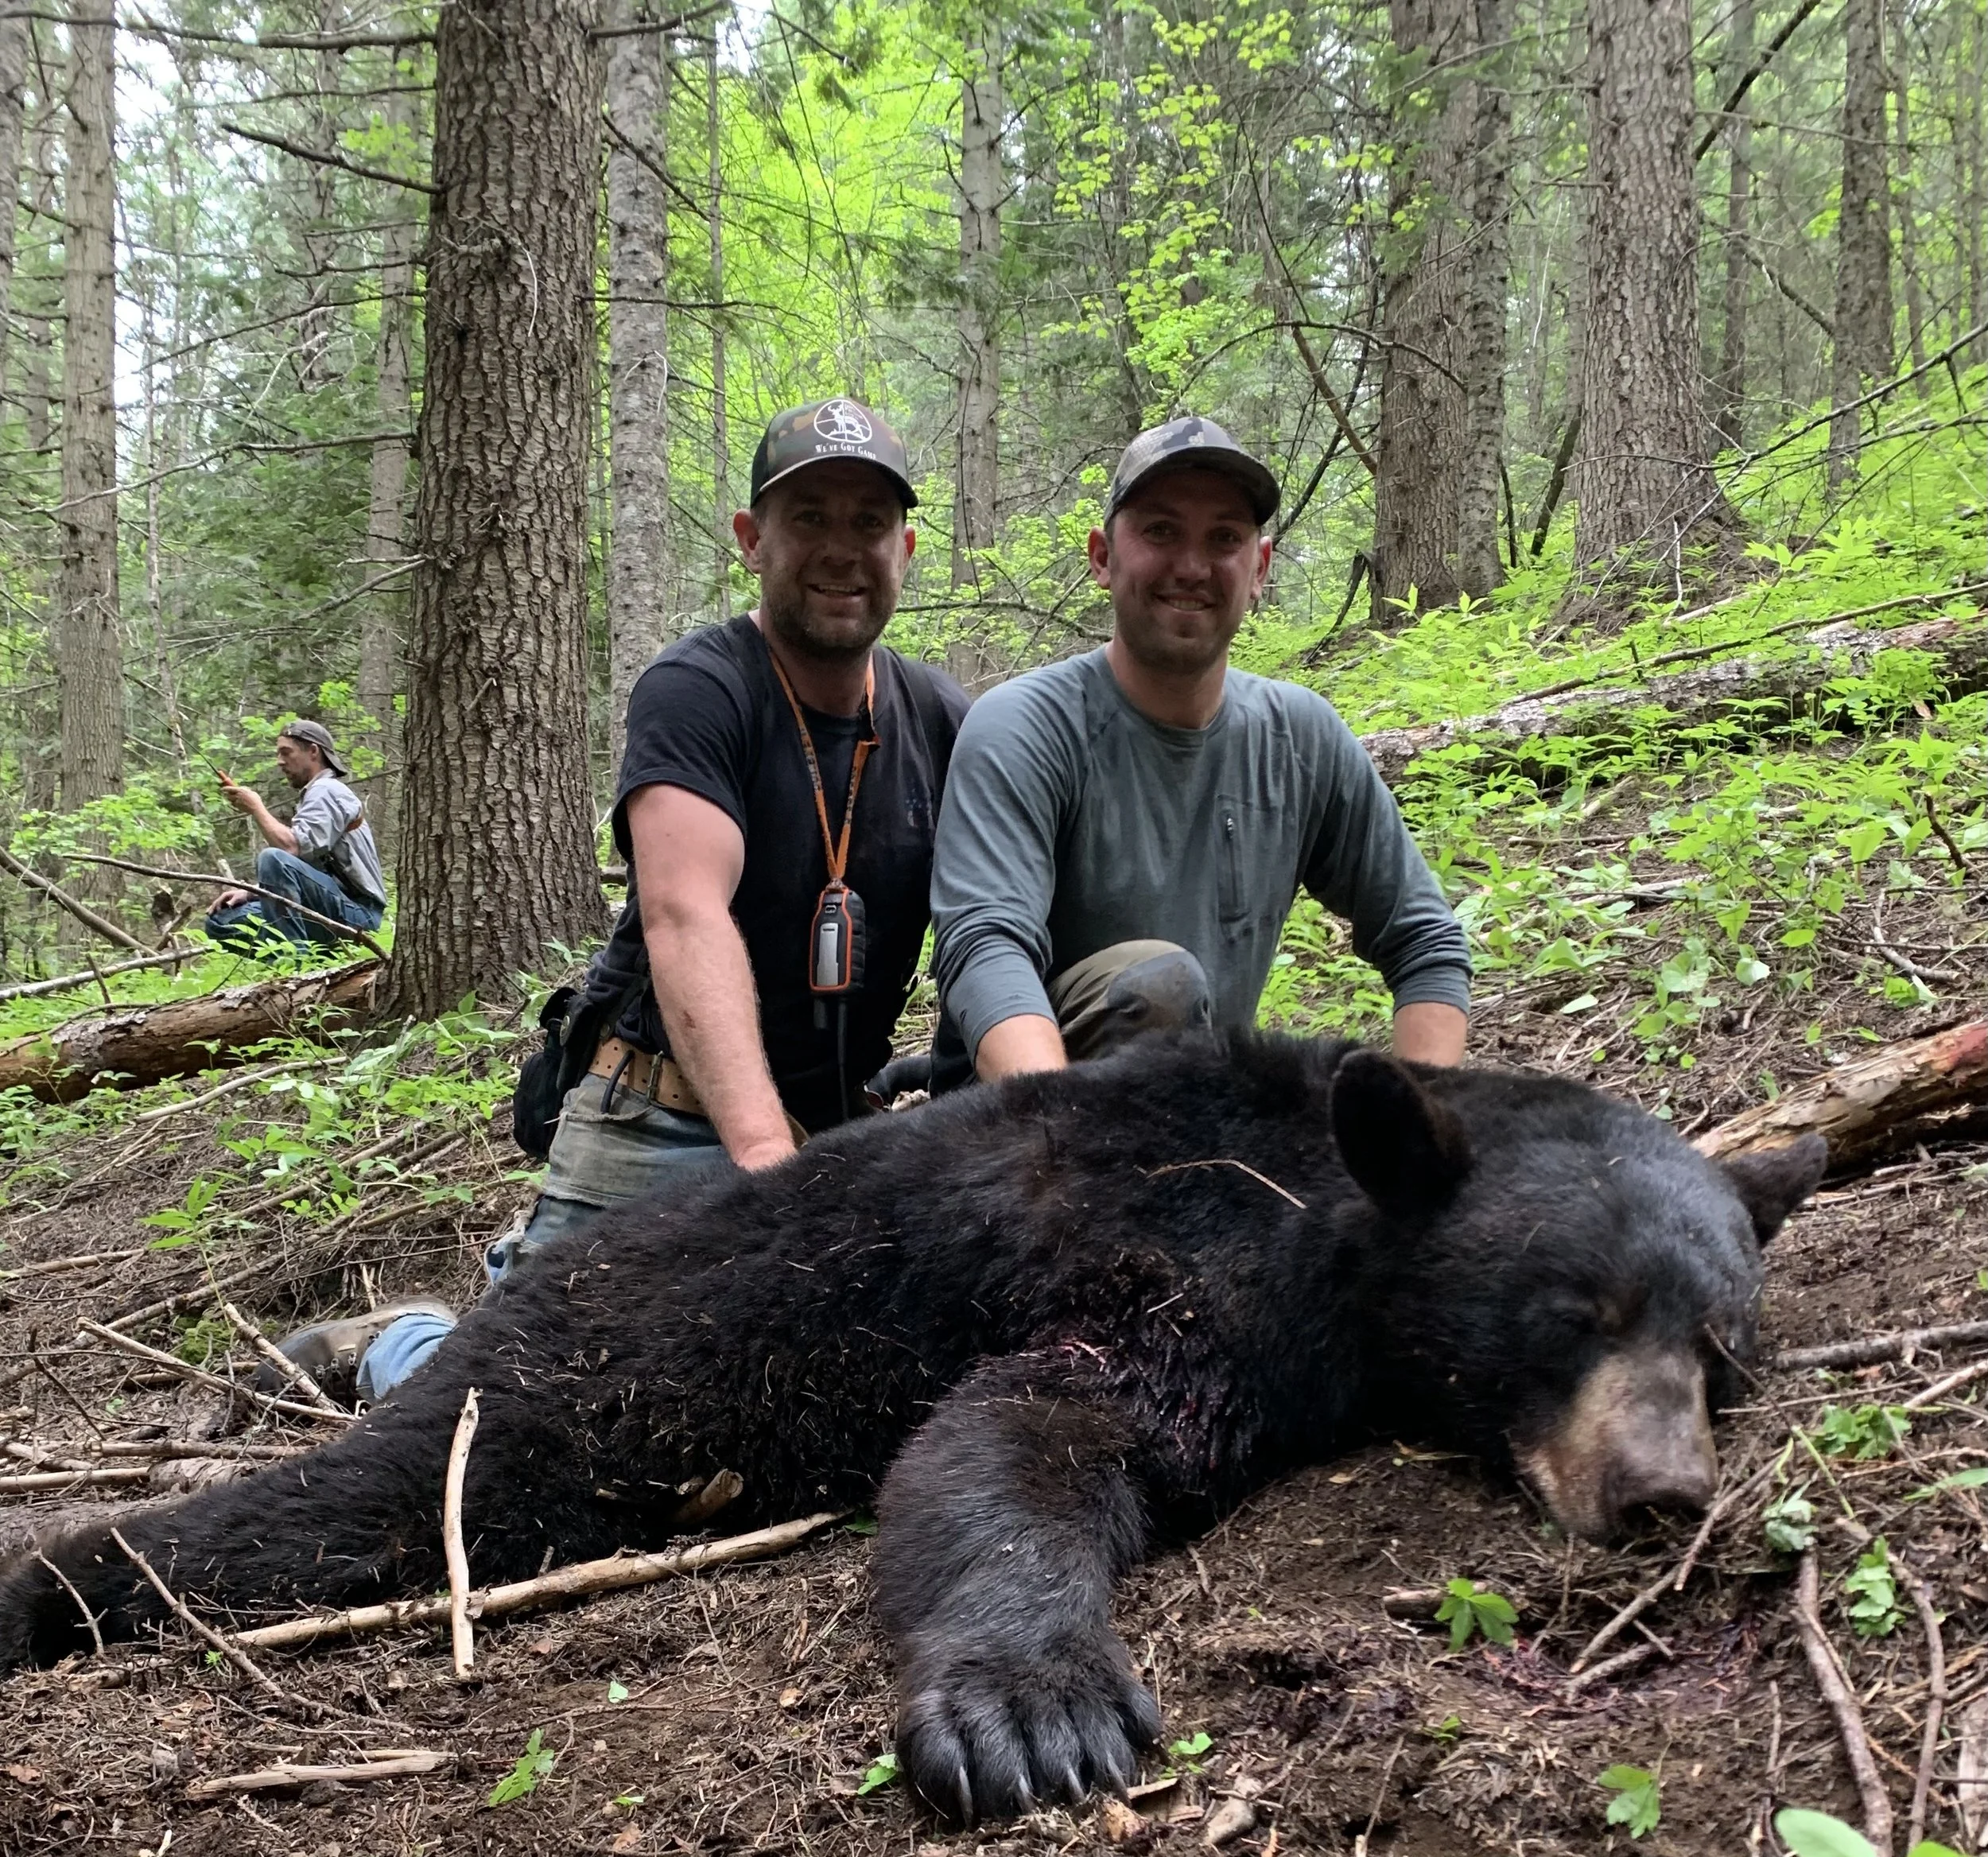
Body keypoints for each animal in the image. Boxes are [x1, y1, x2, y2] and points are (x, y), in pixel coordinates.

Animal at [0, 1033, 1825, 1822]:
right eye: (1568, 1312)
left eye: (1717, 1342)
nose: (1660, 1489)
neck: (1322, 1210)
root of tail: (538, 1272)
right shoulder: (1165, 1269)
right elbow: (1013, 1439)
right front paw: (1032, 1711)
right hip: (586, 1387)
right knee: (348, 1504)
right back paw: (60, 1578)